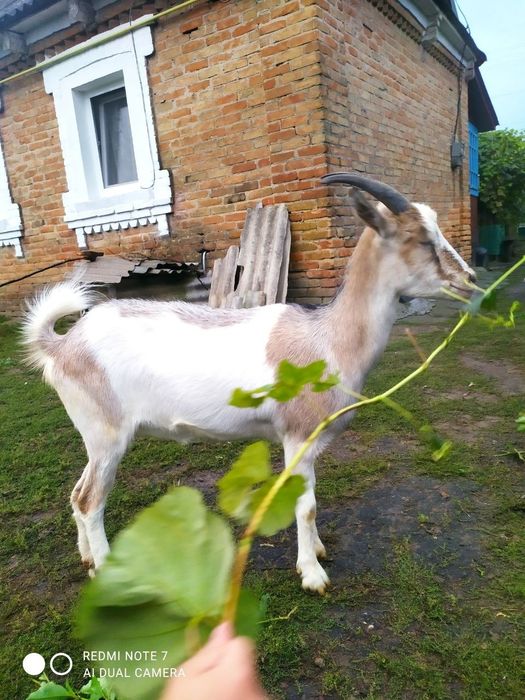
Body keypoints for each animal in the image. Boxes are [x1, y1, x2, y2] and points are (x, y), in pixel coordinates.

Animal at [23, 174, 476, 593]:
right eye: (420, 238)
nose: (469, 277)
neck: (327, 337)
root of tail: (61, 345)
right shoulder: (297, 436)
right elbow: (305, 505)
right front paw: (312, 574)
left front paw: (317, 551)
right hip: (108, 434)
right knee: (90, 501)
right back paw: (105, 570)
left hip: (95, 438)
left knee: (77, 494)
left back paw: (87, 559)